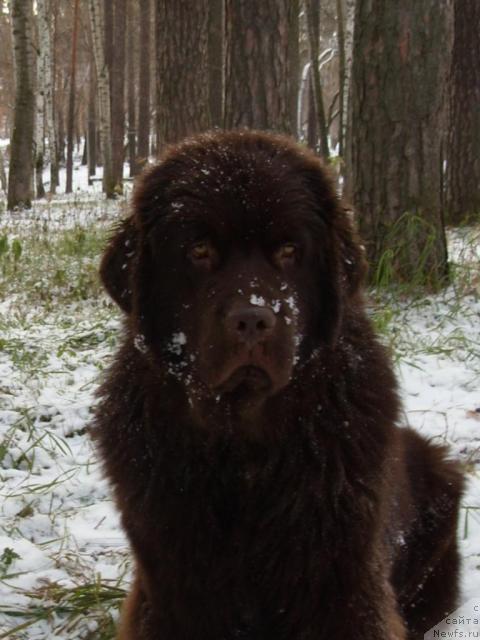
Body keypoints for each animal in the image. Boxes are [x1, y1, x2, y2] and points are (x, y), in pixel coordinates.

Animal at [92, 131, 464, 640]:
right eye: (199, 250)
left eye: (289, 251)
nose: (253, 319)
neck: (244, 447)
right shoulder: (176, 585)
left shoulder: (341, 584)